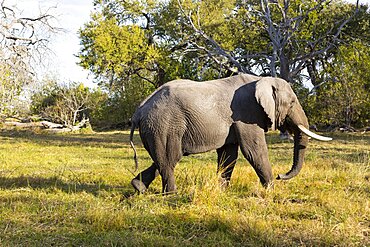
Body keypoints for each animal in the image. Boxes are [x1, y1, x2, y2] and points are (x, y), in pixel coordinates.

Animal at [129, 74, 330, 194]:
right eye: (293, 102)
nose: (281, 176)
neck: (261, 80)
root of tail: (139, 111)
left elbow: (229, 154)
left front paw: (222, 191)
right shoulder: (247, 114)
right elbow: (254, 151)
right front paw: (271, 192)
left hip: (156, 128)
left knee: (164, 159)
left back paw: (138, 188)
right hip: (163, 126)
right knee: (170, 159)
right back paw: (172, 195)